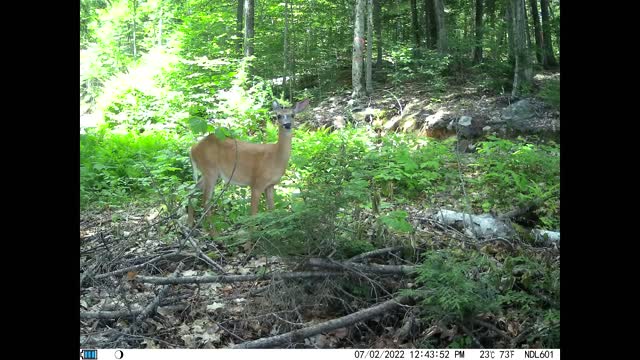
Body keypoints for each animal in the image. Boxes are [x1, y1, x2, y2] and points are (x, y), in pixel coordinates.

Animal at [188, 98, 310, 233]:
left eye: (293, 115)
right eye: (278, 116)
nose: (287, 125)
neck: (275, 157)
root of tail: (193, 148)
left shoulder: (270, 185)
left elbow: (272, 211)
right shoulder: (257, 183)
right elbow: (253, 216)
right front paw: (251, 238)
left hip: (209, 173)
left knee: (191, 191)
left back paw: (189, 224)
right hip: (210, 170)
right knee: (205, 202)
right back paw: (215, 235)